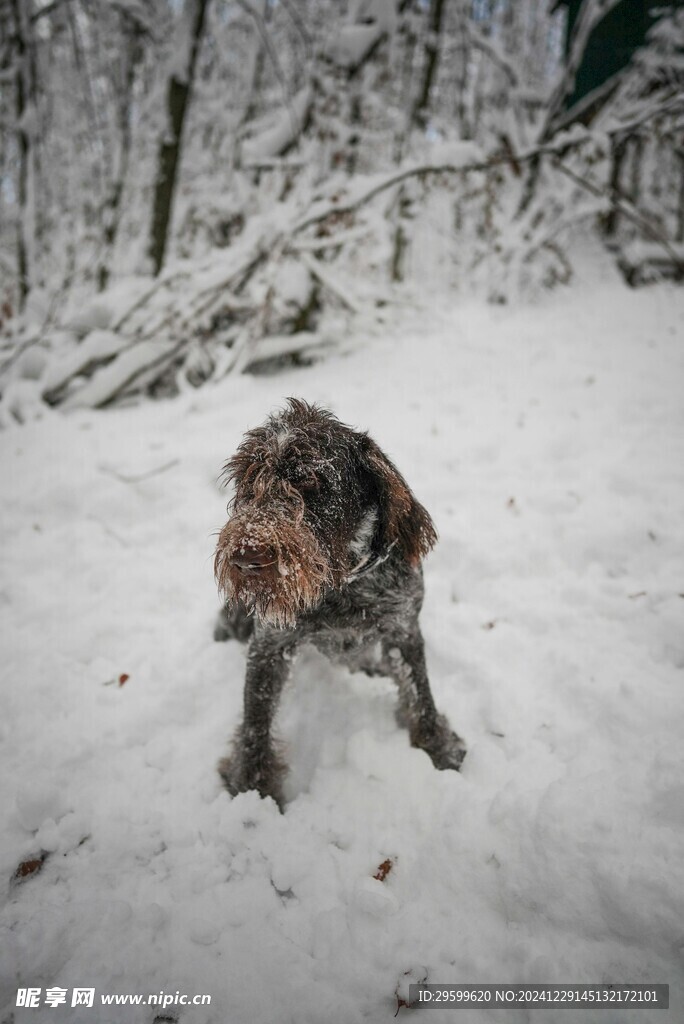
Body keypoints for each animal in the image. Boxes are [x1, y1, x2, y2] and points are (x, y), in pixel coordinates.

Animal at [214, 399, 464, 806]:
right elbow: (255, 723)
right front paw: (252, 787)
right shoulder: (269, 645)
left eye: (309, 480)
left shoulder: (403, 629)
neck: (340, 587)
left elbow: (420, 692)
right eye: (249, 480)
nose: (246, 559)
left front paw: (437, 748)